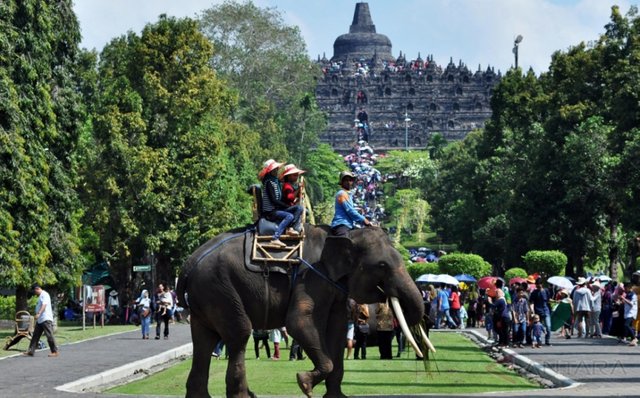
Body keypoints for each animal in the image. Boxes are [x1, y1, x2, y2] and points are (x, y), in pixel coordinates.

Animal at [176, 224, 424, 398]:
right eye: (382, 266)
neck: (345, 234)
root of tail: (188, 263)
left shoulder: (334, 286)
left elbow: (337, 330)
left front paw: (336, 396)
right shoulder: (312, 277)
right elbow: (298, 322)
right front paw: (304, 383)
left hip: (207, 296)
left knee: (204, 340)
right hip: (220, 288)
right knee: (239, 334)